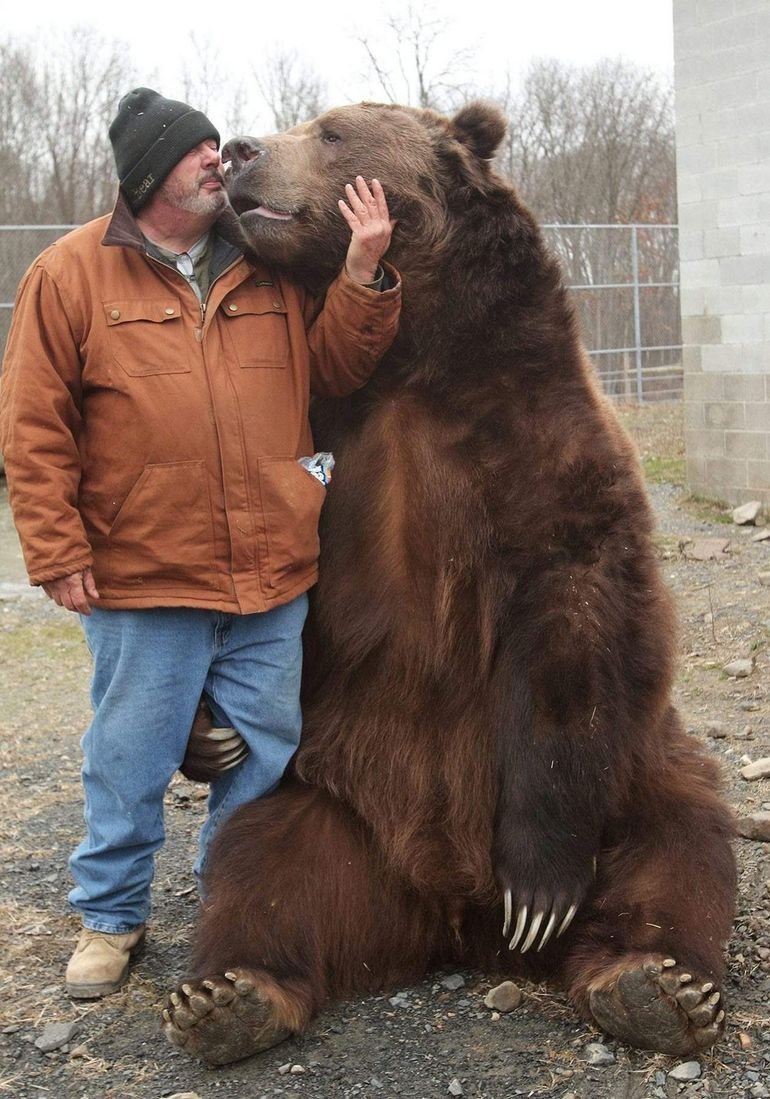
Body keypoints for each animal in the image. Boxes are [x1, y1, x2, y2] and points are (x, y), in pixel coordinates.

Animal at [162, 101, 737, 1066]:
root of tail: (452, 918)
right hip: (329, 800)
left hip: (632, 777)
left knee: (679, 839)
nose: (240, 149)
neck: (415, 362)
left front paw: (540, 891)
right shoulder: (336, 443)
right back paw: (229, 993)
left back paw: (652, 983)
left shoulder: (544, 444)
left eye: (330, 130)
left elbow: (577, 625)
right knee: (262, 864)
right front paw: (208, 734)